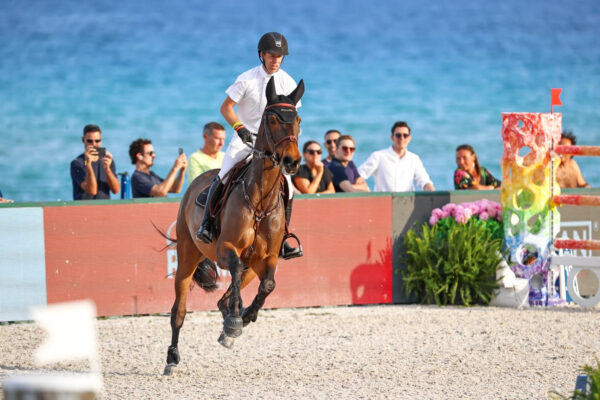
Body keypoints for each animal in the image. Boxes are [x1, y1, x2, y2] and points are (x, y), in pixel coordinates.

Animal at [163, 77, 304, 376]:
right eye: (272, 119)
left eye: (297, 119)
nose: (292, 161)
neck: (260, 201)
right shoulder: (227, 249)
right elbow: (236, 271)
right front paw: (235, 321)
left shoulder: (268, 258)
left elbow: (268, 285)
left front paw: (244, 317)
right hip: (187, 256)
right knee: (178, 311)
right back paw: (172, 358)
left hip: (252, 265)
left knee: (226, 296)